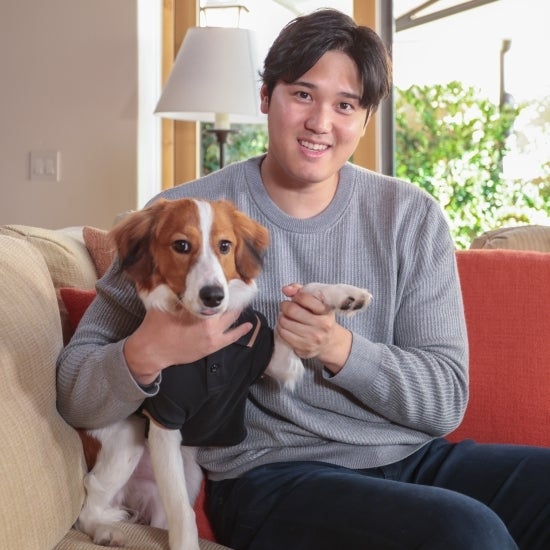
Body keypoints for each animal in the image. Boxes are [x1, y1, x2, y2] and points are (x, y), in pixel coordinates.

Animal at [74, 199, 376, 550]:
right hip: (129, 438)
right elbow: (184, 513)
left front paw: (344, 296)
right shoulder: (164, 421)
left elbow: (301, 299)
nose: (214, 296)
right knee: (90, 499)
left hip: (186, 473)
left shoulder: (271, 360)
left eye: (225, 246)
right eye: (181, 245)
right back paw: (104, 530)